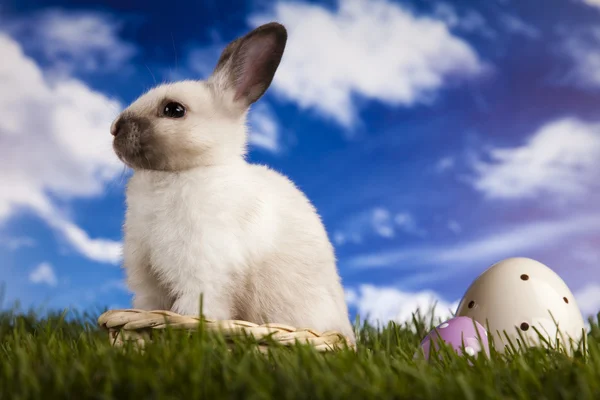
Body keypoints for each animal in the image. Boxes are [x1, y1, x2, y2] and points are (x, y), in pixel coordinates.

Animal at [111, 21, 356, 342]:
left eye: (174, 110)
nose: (114, 128)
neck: (183, 172)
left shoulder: (204, 271)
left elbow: (195, 309)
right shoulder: (147, 280)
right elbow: (148, 307)